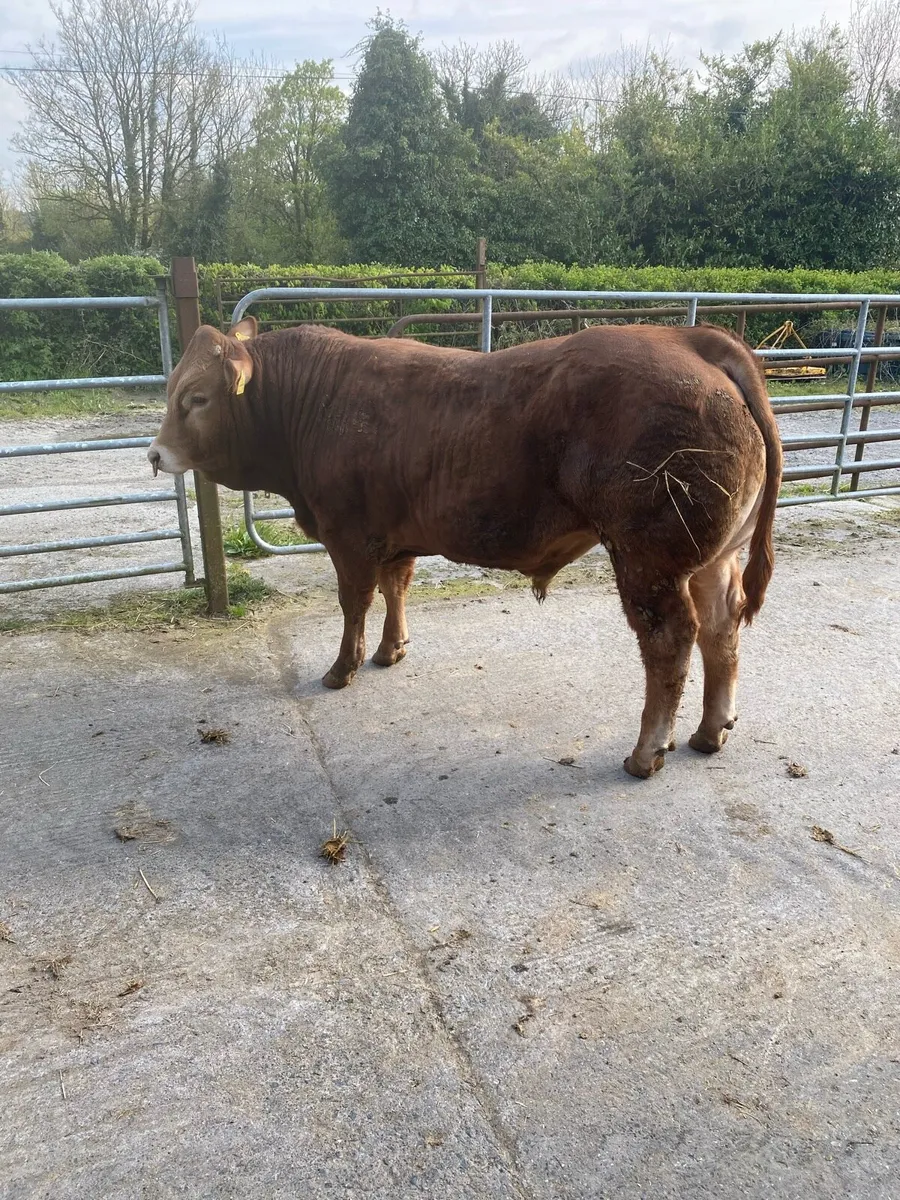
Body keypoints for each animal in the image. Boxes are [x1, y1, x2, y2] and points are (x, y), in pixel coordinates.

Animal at [149, 316, 782, 779]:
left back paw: (647, 750)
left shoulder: (347, 535)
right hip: (713, 557)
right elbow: (395, 587)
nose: (155, 454)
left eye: (196, 398)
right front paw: (391, 649)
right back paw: (709, 731)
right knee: (721, 629)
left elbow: (355, 602)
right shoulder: (394, 535)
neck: (315, 405)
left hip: (648, 557)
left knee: (670, 637)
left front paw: (342, 667)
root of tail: (689, 338)